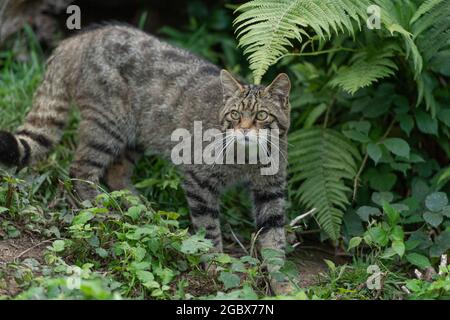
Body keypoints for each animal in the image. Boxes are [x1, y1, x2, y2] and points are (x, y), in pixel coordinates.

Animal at [0, 25, 292, 294]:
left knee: (116, 173)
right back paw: (101, 209)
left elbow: (275, 241)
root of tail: (78, 39)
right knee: (80, 170)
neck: (246, 161)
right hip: (107, 125)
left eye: (262, 116)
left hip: (136, 135)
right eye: (234, 115)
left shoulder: (271, 191)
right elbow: (208, 229)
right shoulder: (198, 180)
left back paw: (142, 211)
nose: (243, 130)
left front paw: (284, 285)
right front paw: (216, 266)